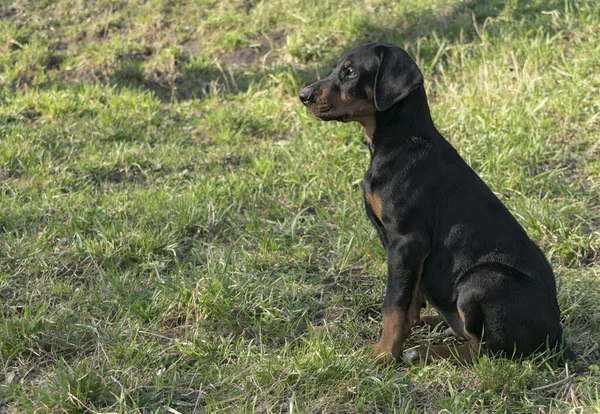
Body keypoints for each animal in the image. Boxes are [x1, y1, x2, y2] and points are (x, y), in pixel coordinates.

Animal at [298, 42, 576, 364]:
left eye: (351, 72)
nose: (303, 95)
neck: (401, 142)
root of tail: (556, 337)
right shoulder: (409, 253)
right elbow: (410, 298)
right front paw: (407, 331)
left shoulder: (407, 241)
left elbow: (393, 305)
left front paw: (382, 354)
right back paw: (437, 325)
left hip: (481, 281)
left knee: (484, 350)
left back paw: (422, 352)